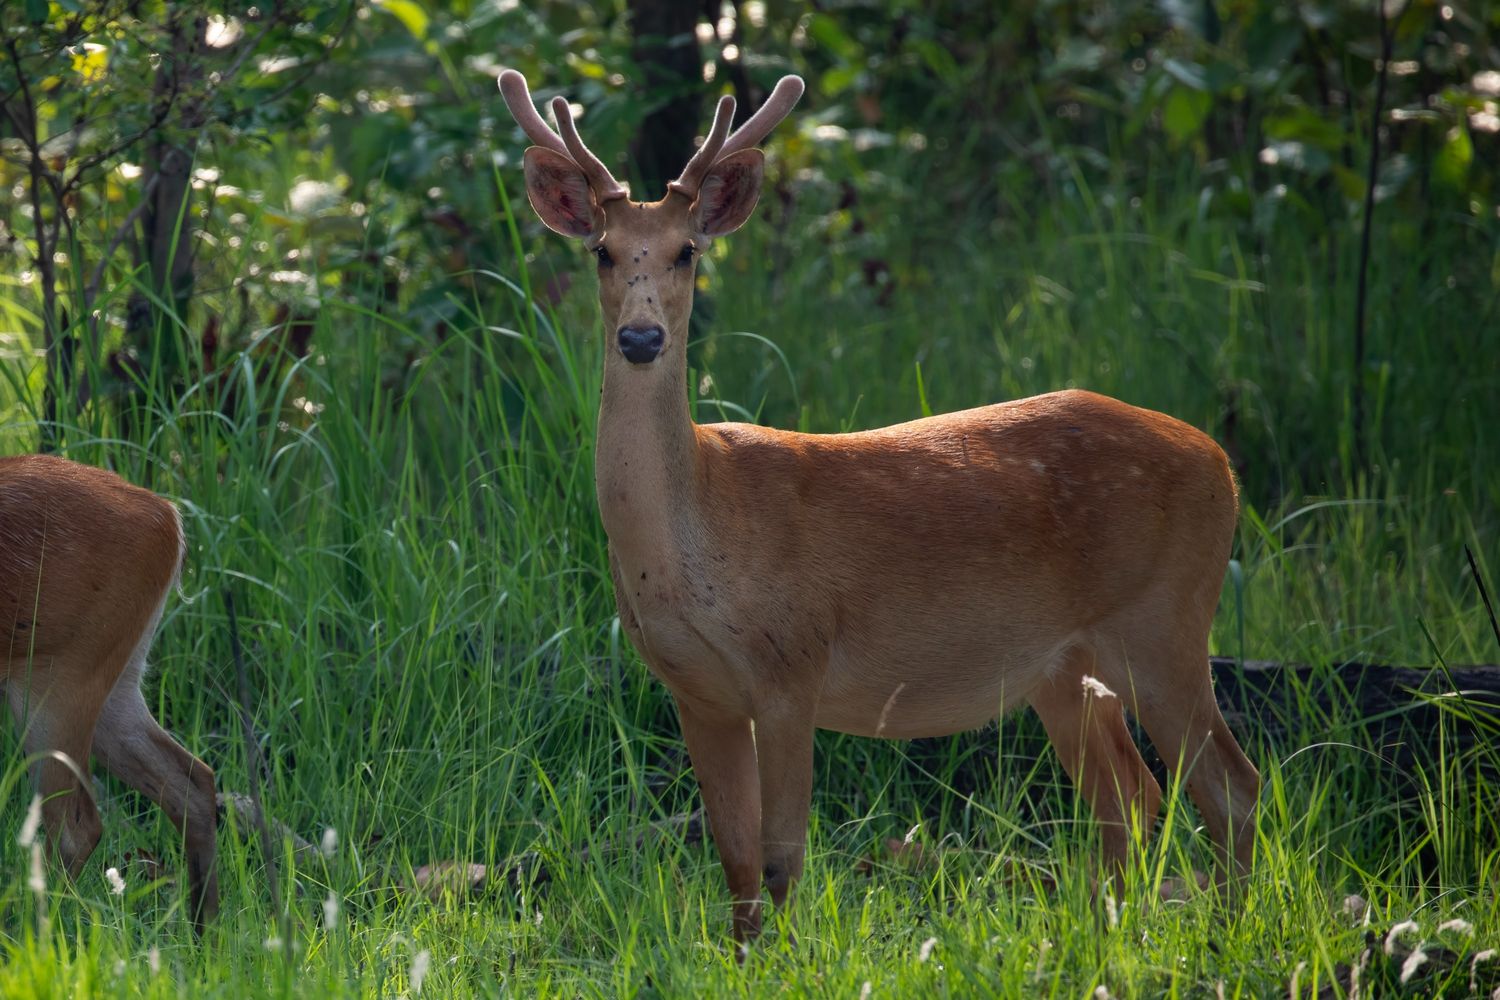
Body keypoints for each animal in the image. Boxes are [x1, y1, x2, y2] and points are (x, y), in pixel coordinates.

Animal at [1, 454, 218, 928]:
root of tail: (167, 518)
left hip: (57, 677)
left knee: (77, 827)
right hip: (118, 677)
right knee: (192, 779)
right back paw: (206, 929)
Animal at [498, 70, 1262, 943]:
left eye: (687, 250)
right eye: (602, 251)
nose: (640, 338)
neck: (696, 541)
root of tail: (1220, 461)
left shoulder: (792, 663)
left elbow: (781, 859)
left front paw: (790, 959)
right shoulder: (697, 691)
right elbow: (734, 863)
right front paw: (741, 955)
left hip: (1168, 618)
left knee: (1231, 787)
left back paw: (1230, 932)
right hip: (1065, 667)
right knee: (1131, 799)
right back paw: (1114, 937)